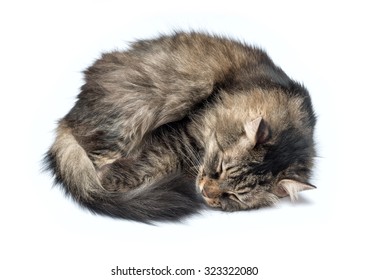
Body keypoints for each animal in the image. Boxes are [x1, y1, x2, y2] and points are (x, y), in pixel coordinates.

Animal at [44, 31, 316, 223]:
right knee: (95, 163)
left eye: (234, 196)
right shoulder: (185, 131)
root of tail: (68, 117)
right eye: (219, 168)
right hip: (133, 111)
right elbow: (152, 160)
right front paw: (113, 179)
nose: (205, 192)